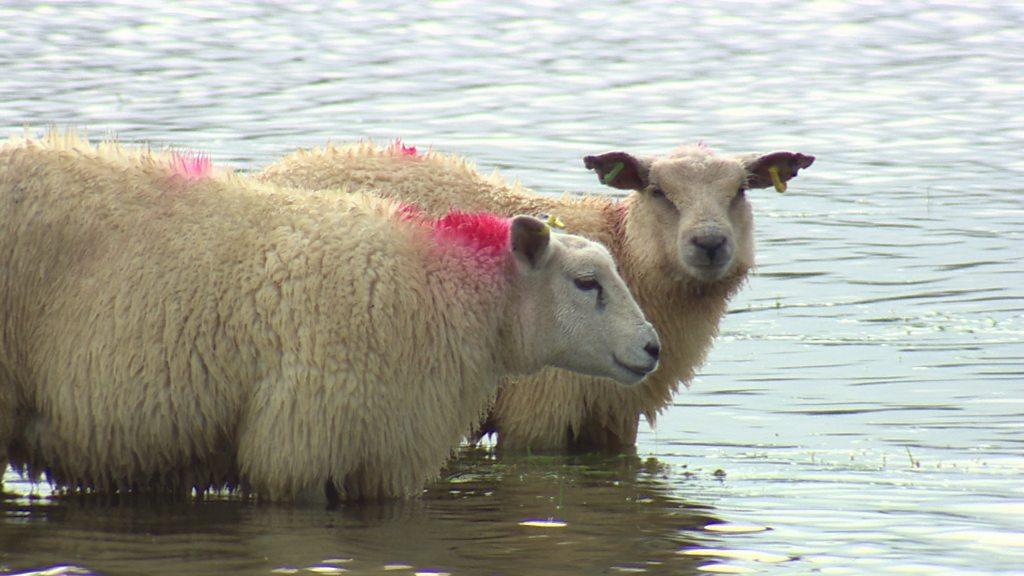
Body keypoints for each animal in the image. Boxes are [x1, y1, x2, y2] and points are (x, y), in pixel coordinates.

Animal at [258, 141, 815, 450]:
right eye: (657, 191)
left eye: (740, 191)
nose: (710, 243)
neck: (625, 249)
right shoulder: (536, 414)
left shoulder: (615, 418)